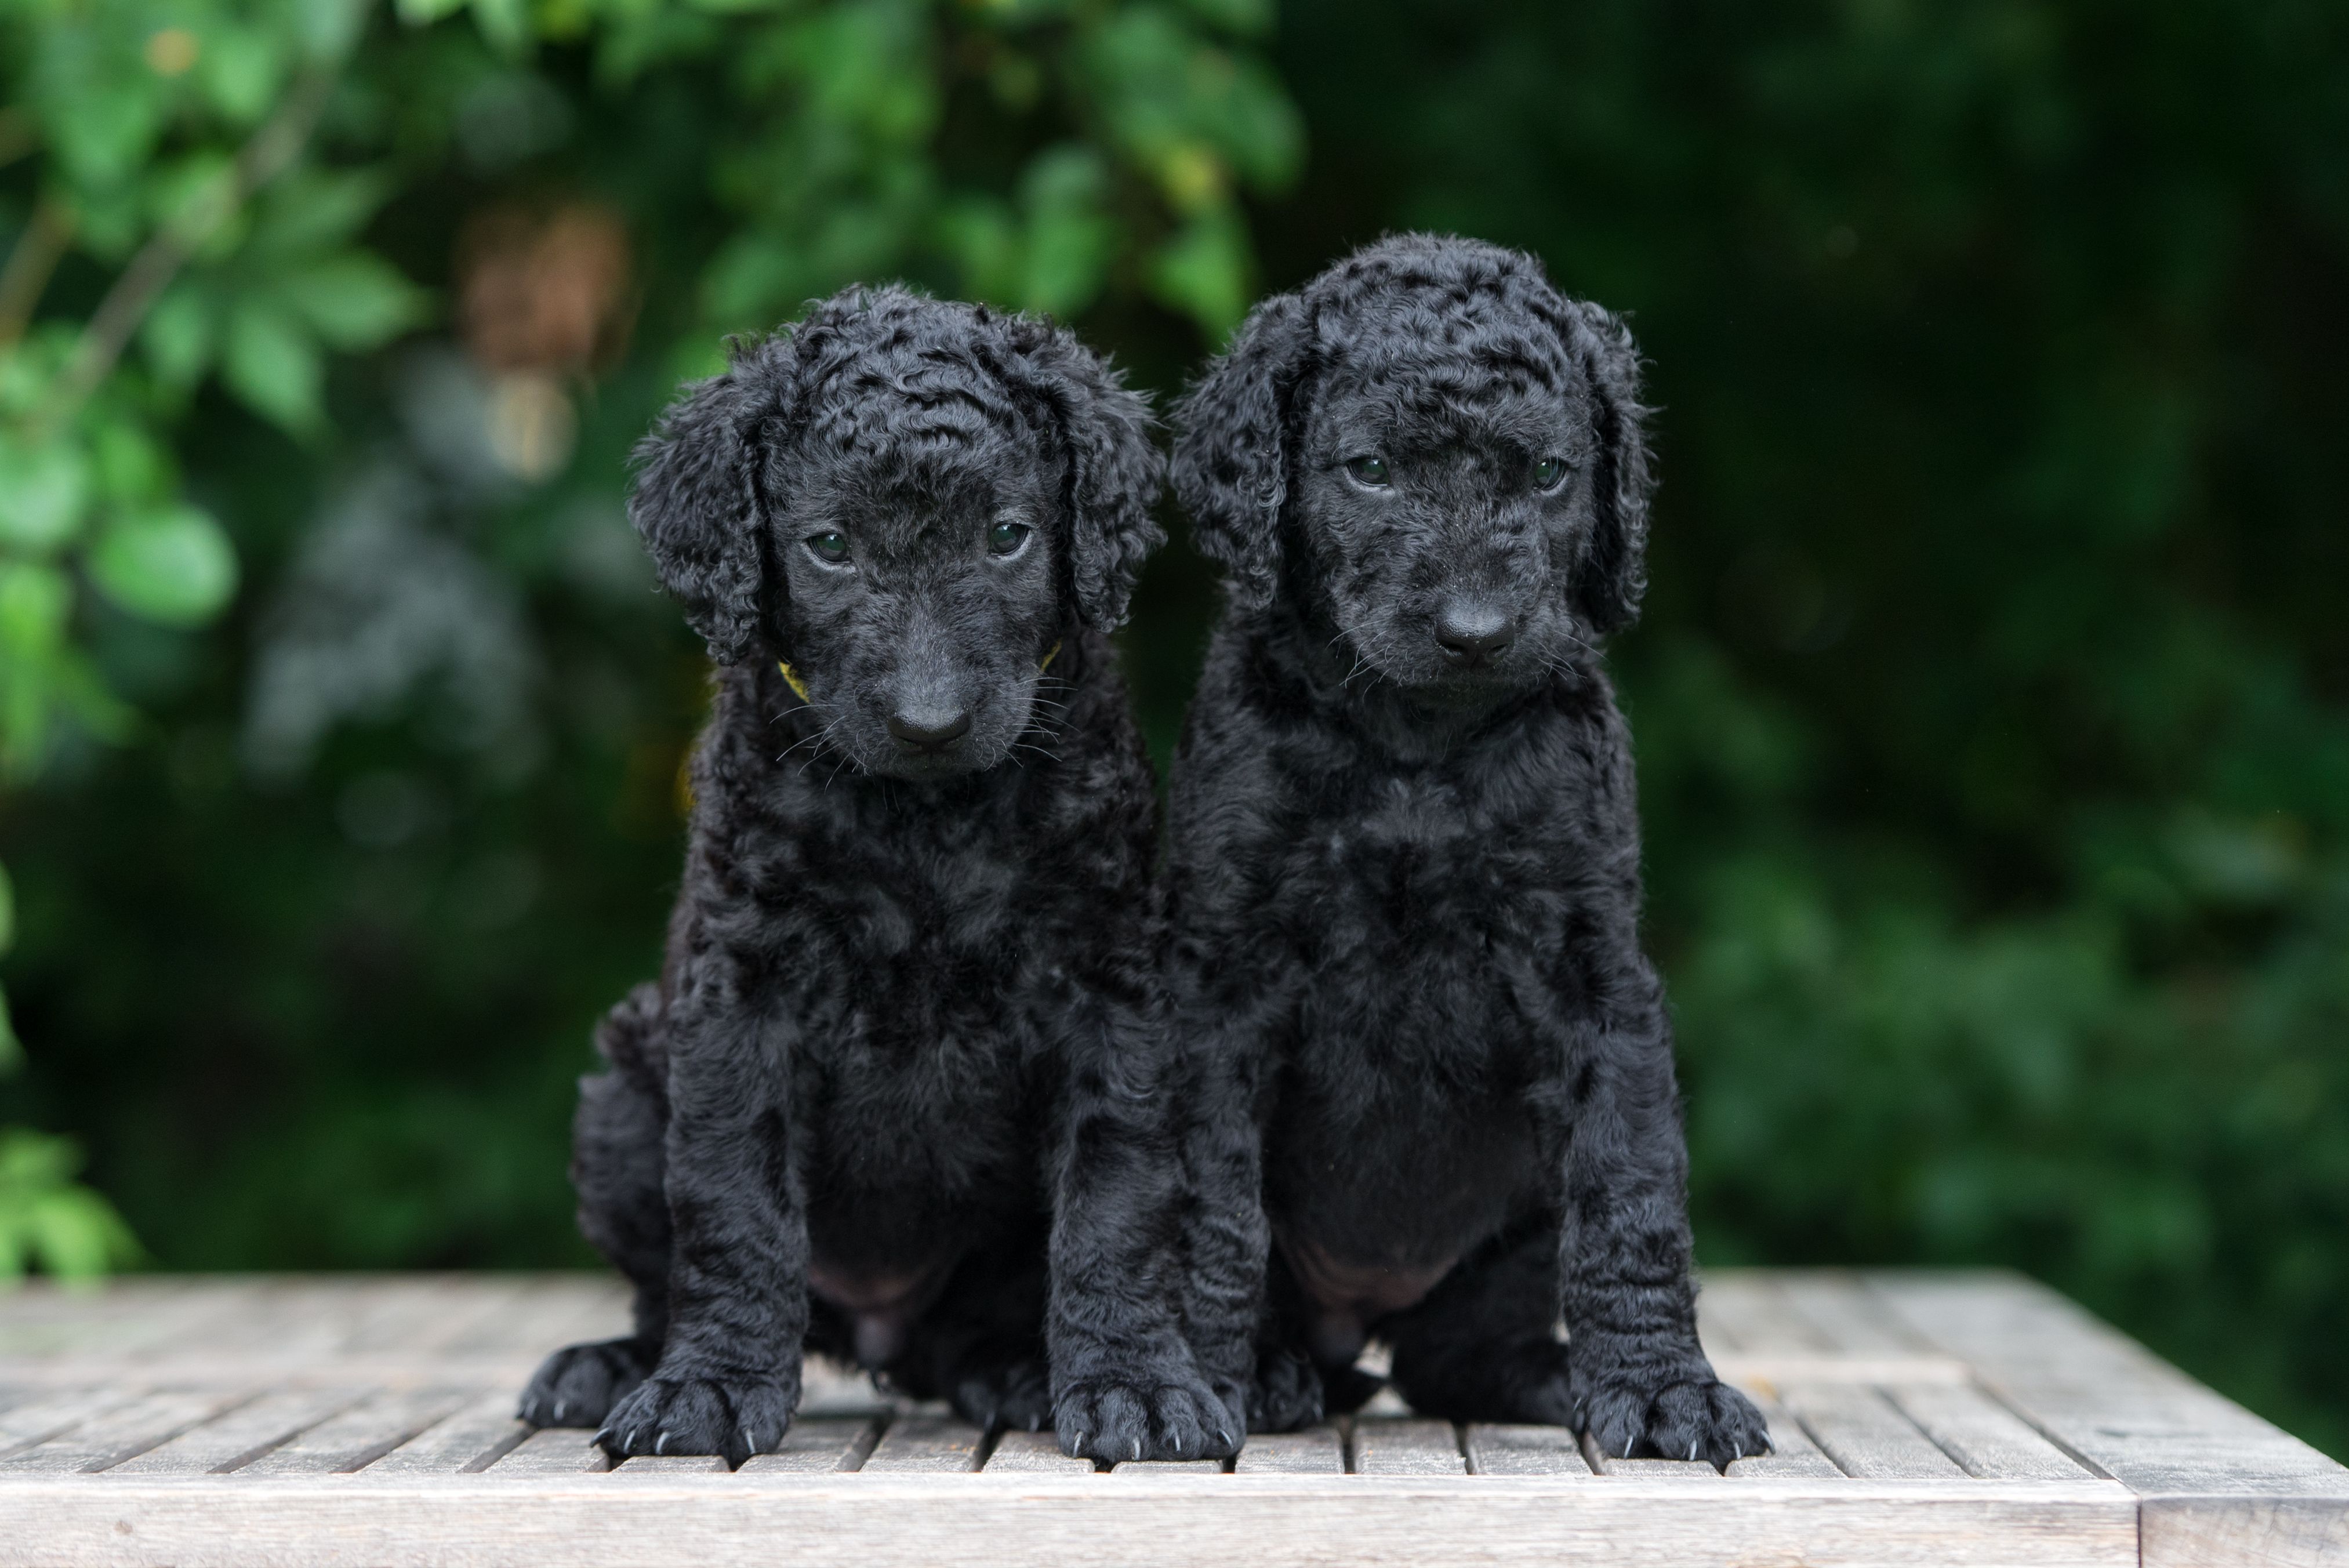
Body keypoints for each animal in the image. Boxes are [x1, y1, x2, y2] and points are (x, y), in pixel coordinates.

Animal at [524, 288, 1240, 1476]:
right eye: (829, 546)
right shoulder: (742, 991)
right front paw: (711, 1386)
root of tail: (874, 1328)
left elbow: (1117, 1194)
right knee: (660, 1279)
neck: (927, 823)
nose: (929, 722)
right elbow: (731, 1204)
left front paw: (1136, 1382)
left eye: (1007, 535)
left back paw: (1015, 1370)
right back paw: (610, 1365)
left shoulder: (1113, 991)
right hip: (625, 1091)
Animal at [1165, 236, 1766, 1476]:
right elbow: (1211, 1204)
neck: (1416, 749)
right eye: (1369, 469)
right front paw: (1189, 1377)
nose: (1477, 631)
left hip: (1509, 1231)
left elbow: (1633, 1190)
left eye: (1547, 472)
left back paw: (1544, 1374)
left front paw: (1666, 1390)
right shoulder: (1219, 980)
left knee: (1457, 1351)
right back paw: (1278, 1373)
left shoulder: (1595, 969)